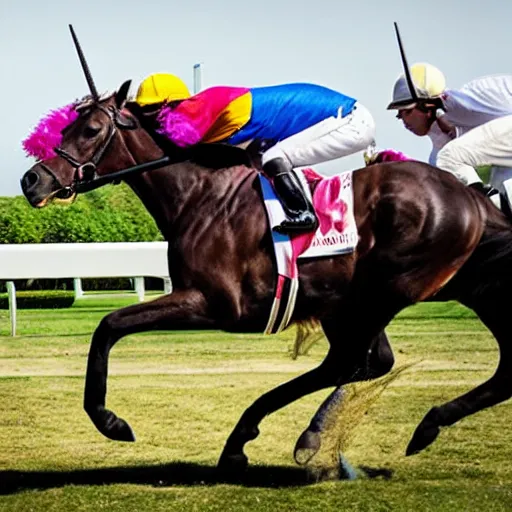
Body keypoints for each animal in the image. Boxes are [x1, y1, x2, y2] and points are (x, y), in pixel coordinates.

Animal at [19, 34, 512, 470]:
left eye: (91, 129)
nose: (31, 180)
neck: (200, 195)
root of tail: (472, 199)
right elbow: (109, 327)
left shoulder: (214, 303)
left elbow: (108, 326)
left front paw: (110, 422)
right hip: (404, 295)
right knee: (411, 364)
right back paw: (415, 427)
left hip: (383, 292)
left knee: (353, 361)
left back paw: (290, 437)